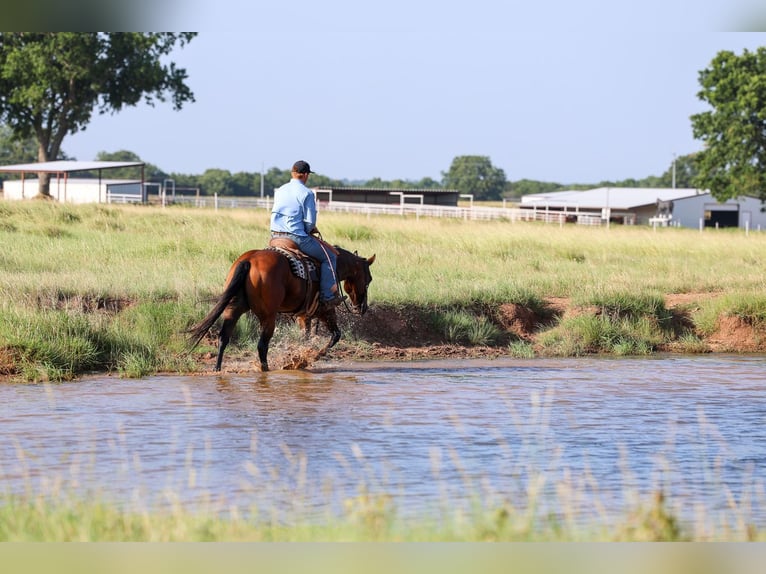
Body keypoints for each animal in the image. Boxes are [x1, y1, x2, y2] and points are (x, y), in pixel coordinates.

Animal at [187, 245, 375, 372]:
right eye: (369, 279)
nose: (362, 308)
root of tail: (249, 260)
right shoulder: (325, 311)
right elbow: (336, 335)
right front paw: (312, 356)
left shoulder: (304, 316)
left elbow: (306, 337)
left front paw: (300, 358)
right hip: (268, 316)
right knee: (262, 345)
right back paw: (265, 369)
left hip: (233, 310)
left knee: (223, 338)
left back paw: (217, 369)